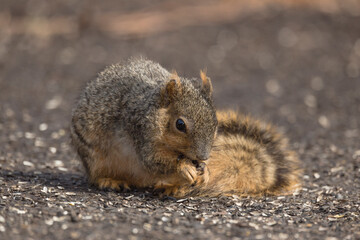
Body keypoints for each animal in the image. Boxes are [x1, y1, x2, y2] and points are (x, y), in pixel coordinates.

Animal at [69, 57, 300, 197]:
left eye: (215, 123)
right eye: (180, 124)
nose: (203, 157)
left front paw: (204, 171)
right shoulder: (139, 130)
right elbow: (153, 160)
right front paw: (183, 166)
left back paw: (174, 187)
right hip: (94, 157)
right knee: (97, 175)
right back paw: (110, 180)